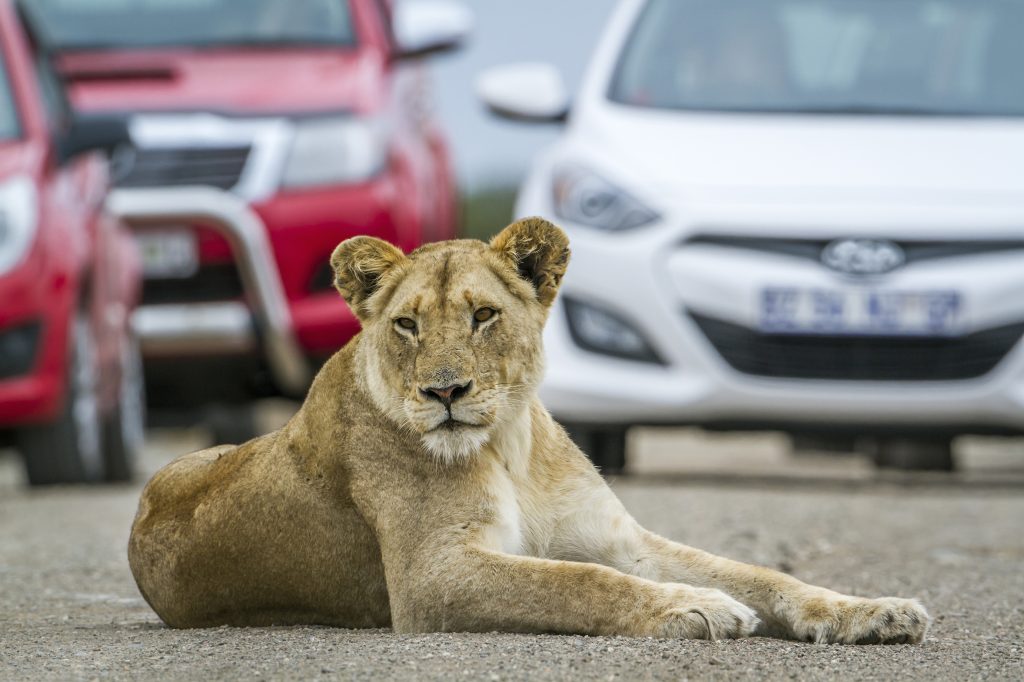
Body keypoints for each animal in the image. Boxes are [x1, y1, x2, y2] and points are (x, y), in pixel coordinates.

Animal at [128, 217, 929, 643]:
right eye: (407, 325)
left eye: (484, 315)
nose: (445, 391)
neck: (507, 445)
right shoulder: (431, 577)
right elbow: (577, 582)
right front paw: (691, 606)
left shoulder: (620, 540)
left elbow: (761, 574)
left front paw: (873, 610)